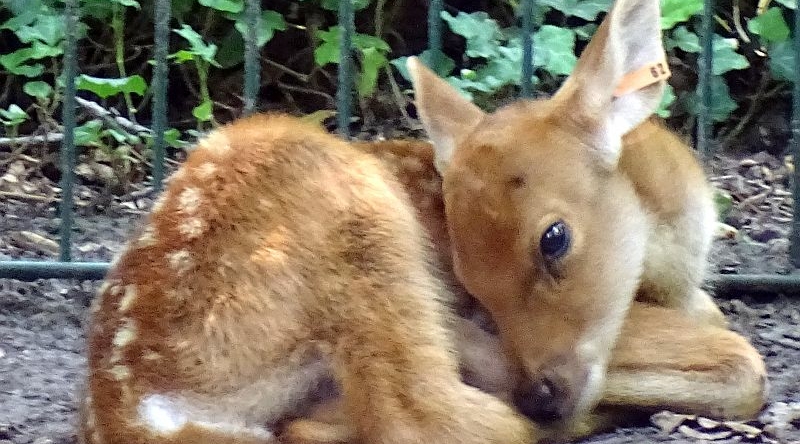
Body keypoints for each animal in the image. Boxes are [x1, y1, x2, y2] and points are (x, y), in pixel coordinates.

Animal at [78, 0, 764, 440]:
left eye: (554, 239)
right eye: (470, 280)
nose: (542, 395)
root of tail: (135, 408)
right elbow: (741, 360)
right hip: (354, 224)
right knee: (421, 417)